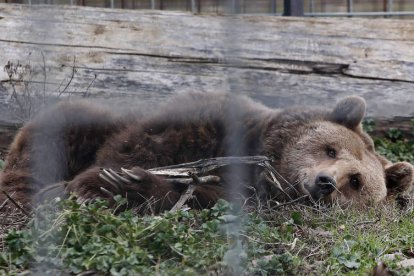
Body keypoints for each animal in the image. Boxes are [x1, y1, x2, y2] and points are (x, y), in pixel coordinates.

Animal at [0, 92, 414, 211]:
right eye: (330, 149)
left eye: (356, 181)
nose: (325, 181)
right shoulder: (210, 121)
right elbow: (141, 144)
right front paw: (98, 181)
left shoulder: (249, 193)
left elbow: (202, 194)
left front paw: (124, 184)